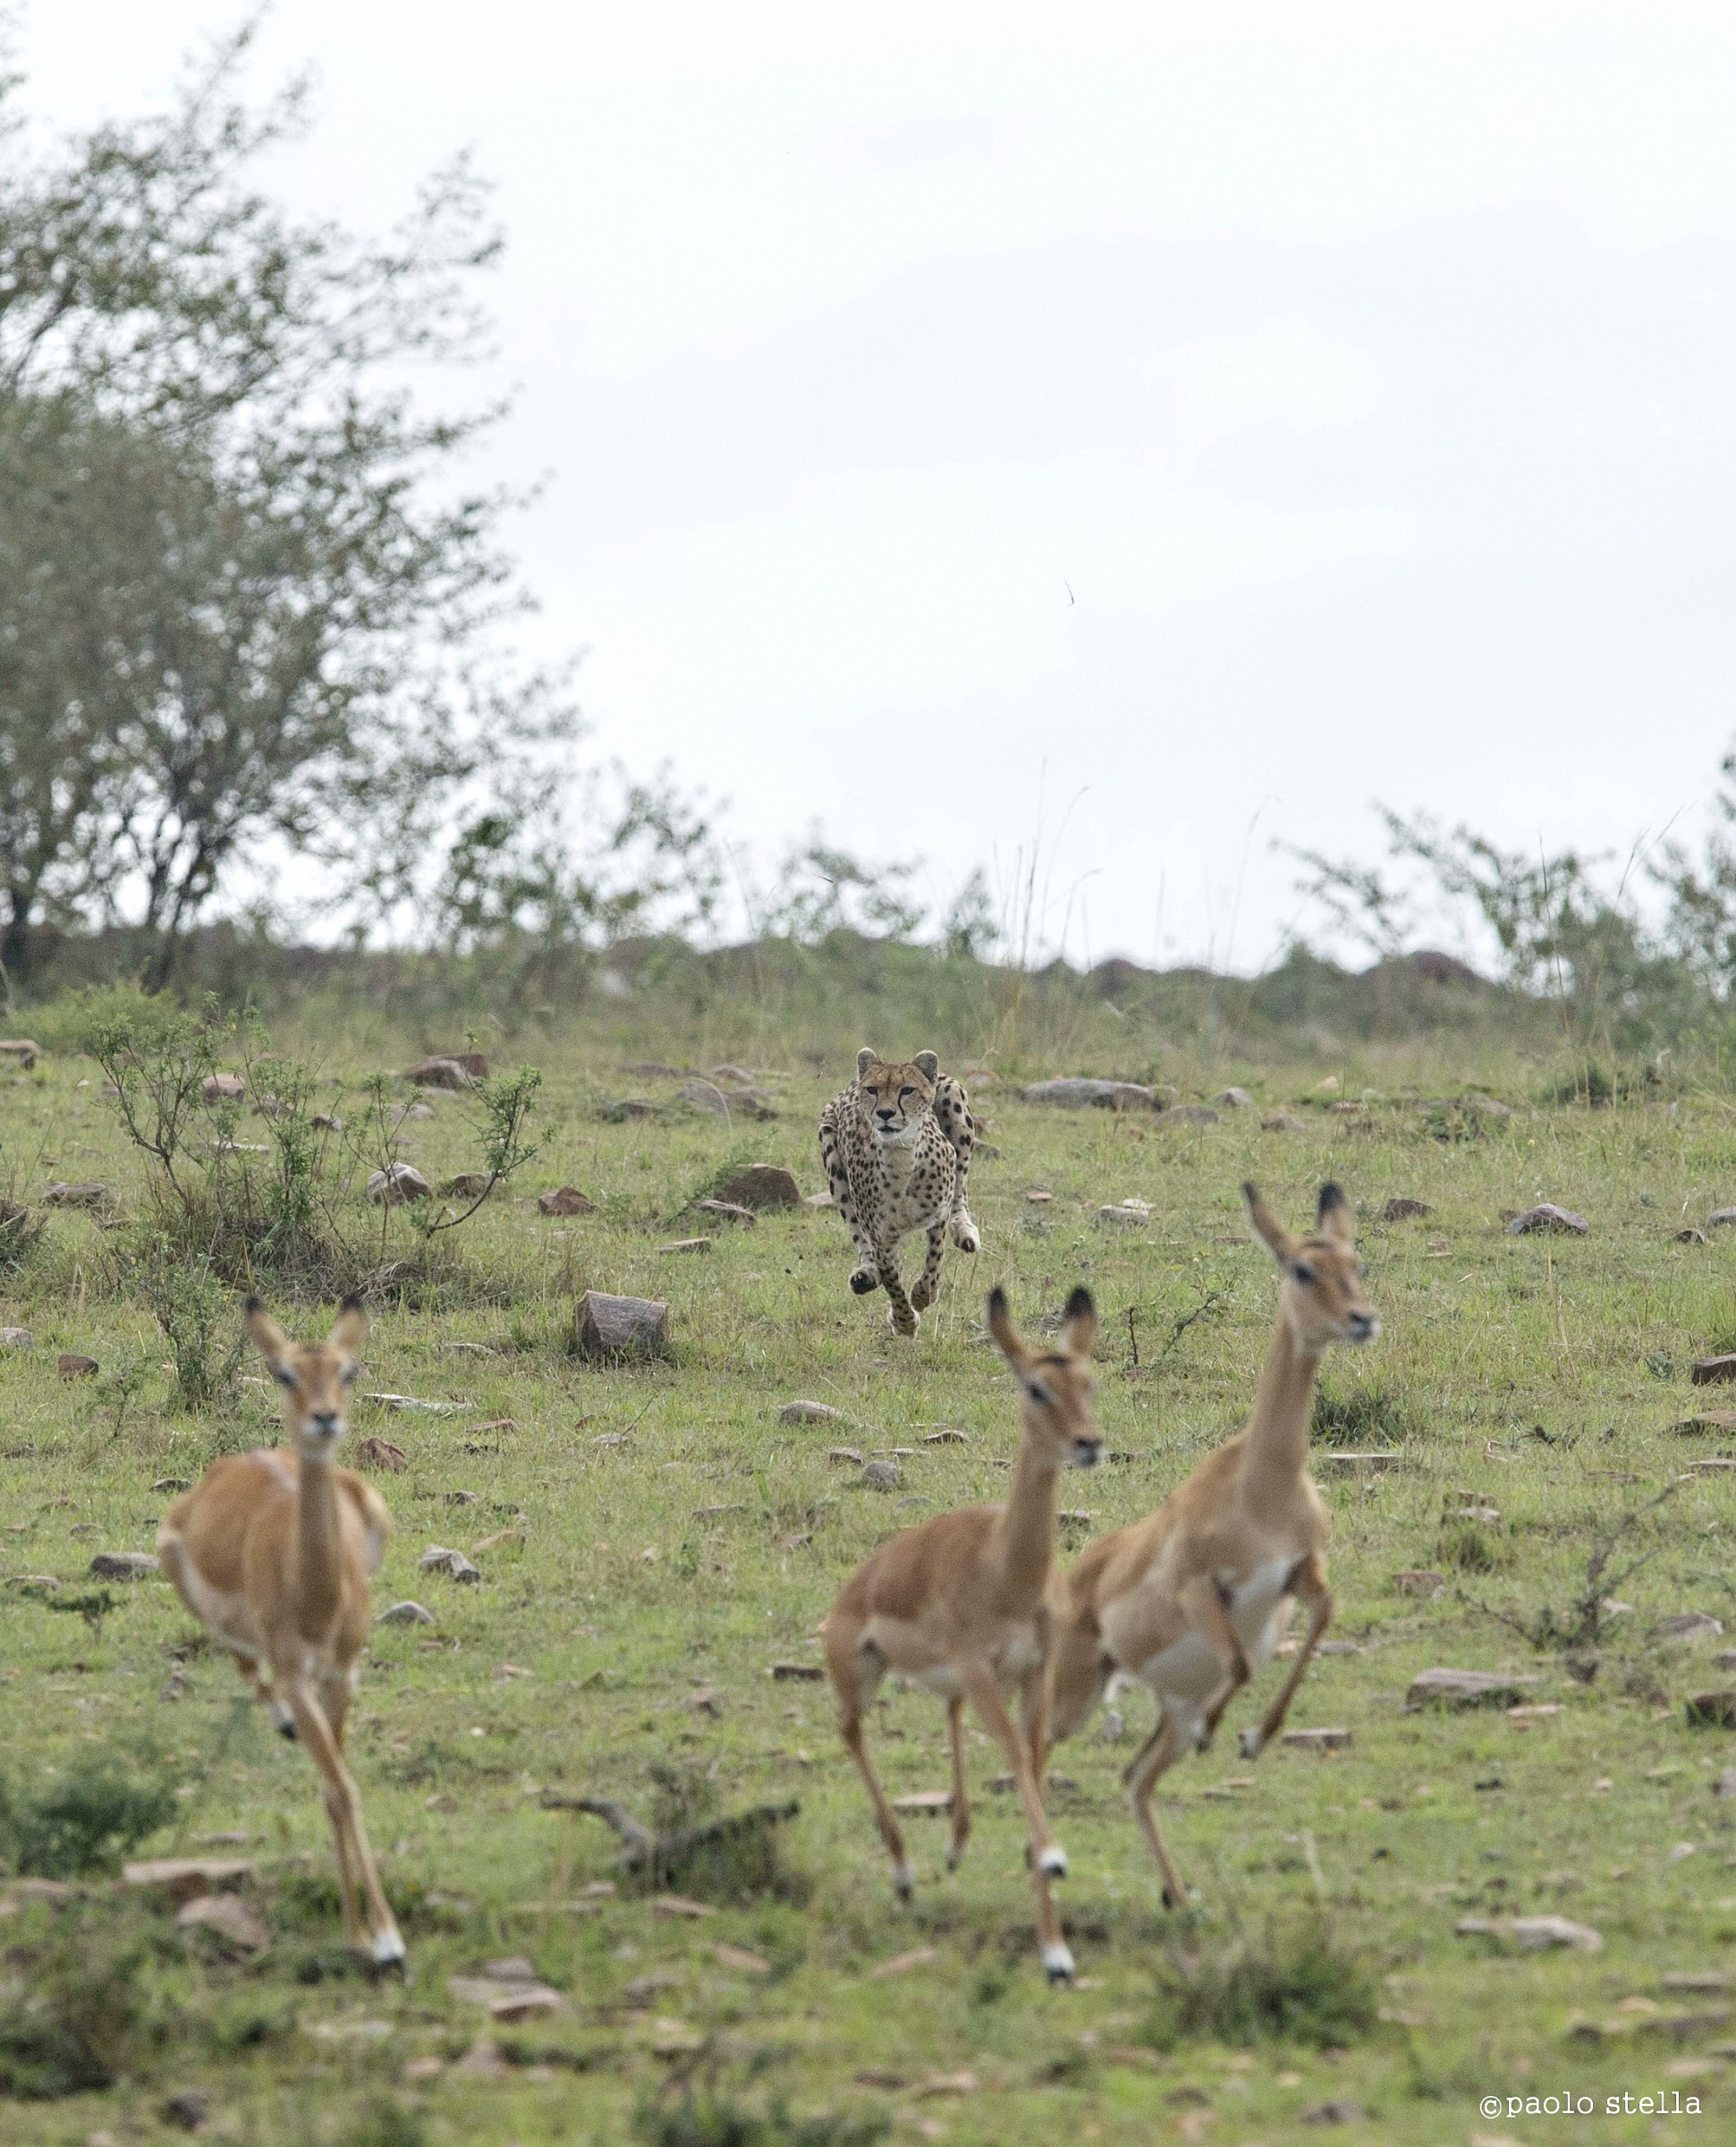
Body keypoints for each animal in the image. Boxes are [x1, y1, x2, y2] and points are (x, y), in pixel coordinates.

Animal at [818, 1047, 980, 1336]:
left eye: (907, 1090)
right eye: (872, 1089)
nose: (885, 1113)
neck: (900, 1156)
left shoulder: (938, 1215)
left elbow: (934, 1259)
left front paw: (923, 1296)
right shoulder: (881, 1236)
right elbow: (892, 1278)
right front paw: (904, 1320)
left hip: (954, 1101)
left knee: (961, 1186)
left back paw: (965, 1231)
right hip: (831, 1150)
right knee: (859, 1234)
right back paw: (867, 1274)